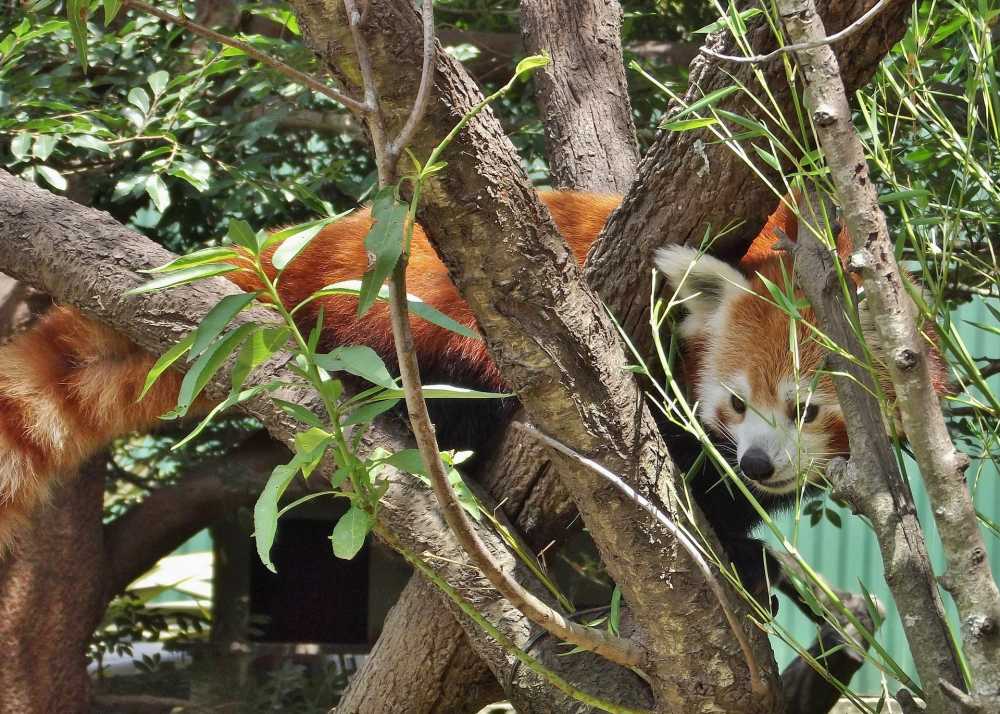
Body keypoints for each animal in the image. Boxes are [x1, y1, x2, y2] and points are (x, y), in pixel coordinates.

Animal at [0, 192, 944, 552]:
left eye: (809, 409)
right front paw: (739, 545)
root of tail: (321, 240)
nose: (758, 461)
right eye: (737, 404)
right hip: (417, 314)